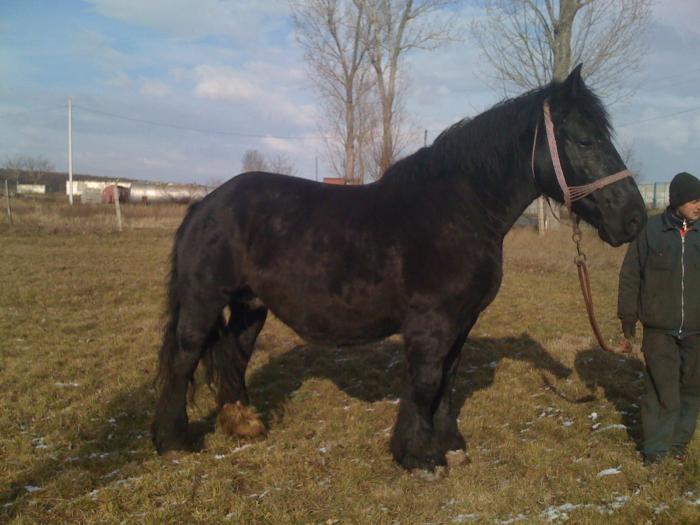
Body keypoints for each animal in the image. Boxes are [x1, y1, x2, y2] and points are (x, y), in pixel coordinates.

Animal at [152, 65, 644, 470]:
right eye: (585, 140)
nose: (635, 217)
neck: (459, 209)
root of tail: (205, 204)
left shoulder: (462, 322)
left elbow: (448, 380)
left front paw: (451, 445)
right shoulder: (432, 322)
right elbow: (426, 382)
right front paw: (418, 456)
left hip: (250, 305)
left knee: (233, 353)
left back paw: (245, 425)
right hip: (203, 303)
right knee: (183, 358)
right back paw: (172, 442)